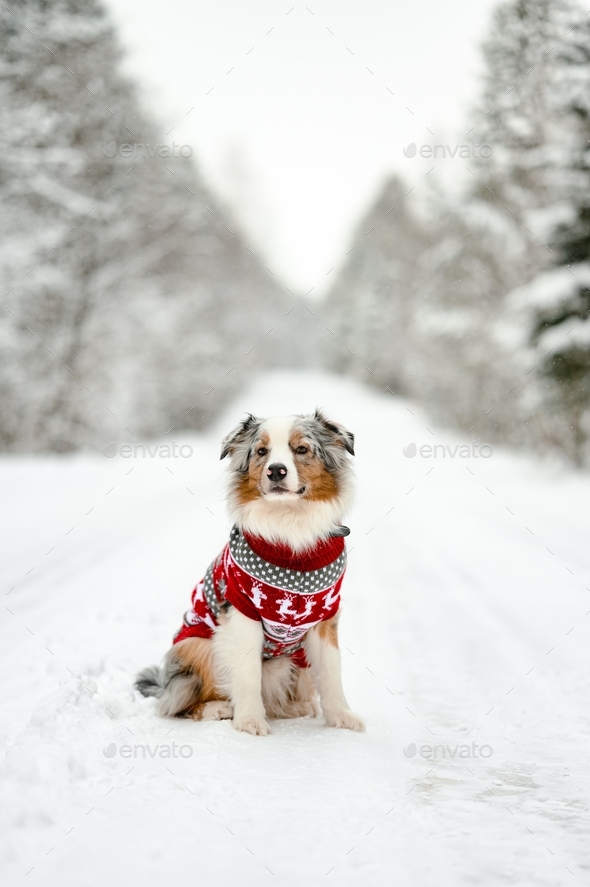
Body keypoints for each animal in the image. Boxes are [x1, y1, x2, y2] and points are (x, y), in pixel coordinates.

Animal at [136, 410, 366, 736]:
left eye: (302, 449)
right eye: (261, 451)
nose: (276, 471)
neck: (290, 530)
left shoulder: (325, 615)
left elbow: (332, 673)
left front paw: (342, 717)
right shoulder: (242, 609)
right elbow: (247, 674)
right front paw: (249, 722)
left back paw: (295, 707)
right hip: (197, 645)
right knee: (179, 702)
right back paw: (219, 708)